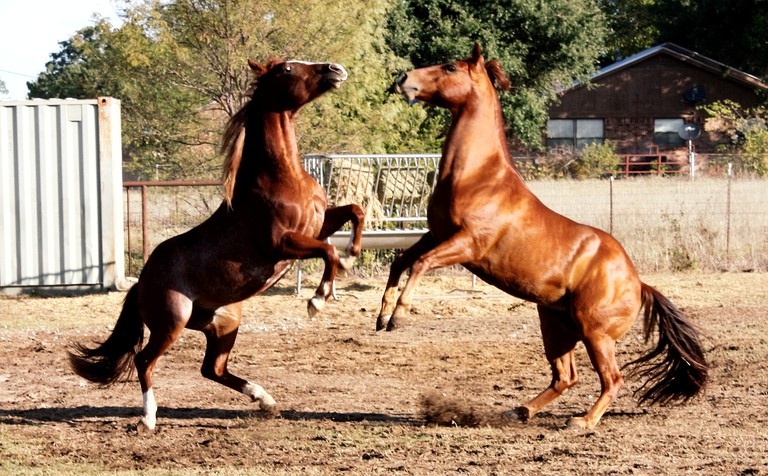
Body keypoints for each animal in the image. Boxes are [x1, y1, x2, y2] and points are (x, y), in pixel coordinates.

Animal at [68, 56, 364, 432]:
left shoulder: (318, 223)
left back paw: (265, 400)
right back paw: (148, 418)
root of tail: (141, 283)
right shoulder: (281, 244)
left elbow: (355, 211)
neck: (282, 176)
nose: (335, 69)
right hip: (172, 323)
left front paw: (353, 253)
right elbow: (327, 252)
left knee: (213, 369)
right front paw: (317, 300)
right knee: (144, 360)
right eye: (287, 69)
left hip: (224, 324)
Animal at [380, 44, 708, 430]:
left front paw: (400, 316)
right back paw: (520, 410)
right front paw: (382, 316)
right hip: (555, 326)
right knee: (565, 377)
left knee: (612, 379)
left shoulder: (467, 244)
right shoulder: (437, 233)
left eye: (449, 67)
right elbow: (402, 261)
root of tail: (639, 283)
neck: (478, 177)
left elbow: (420, 263)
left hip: (594, 333)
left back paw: (583, 421)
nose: (404, 78)